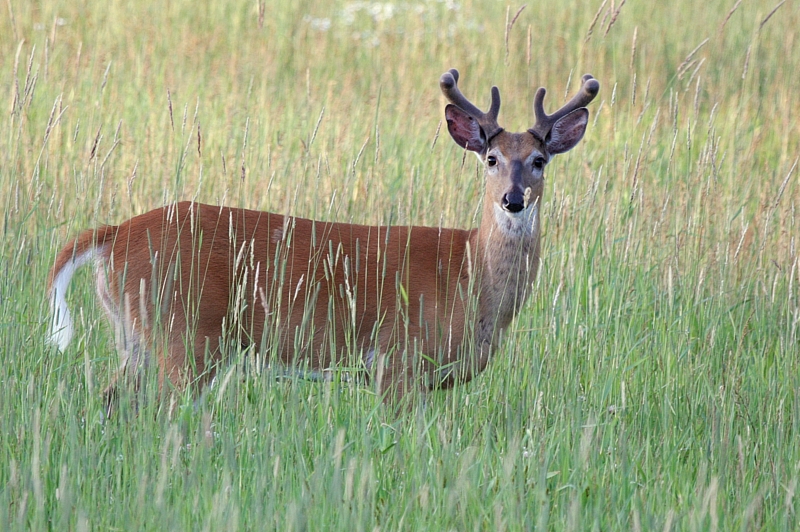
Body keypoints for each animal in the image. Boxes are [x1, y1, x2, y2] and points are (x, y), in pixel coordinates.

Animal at [47, 69, 596, 412]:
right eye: (491, 158)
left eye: (539, 160)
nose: (513, 199)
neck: (467, 274)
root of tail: (114, 235)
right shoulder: (398, 360)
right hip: (183, 334)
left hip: (135, 336)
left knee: (110, 401)